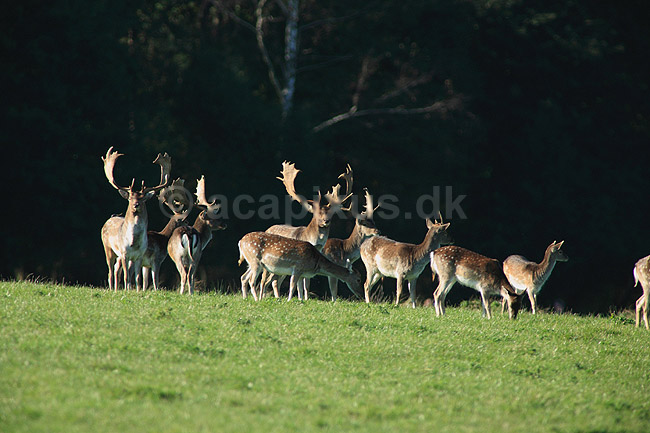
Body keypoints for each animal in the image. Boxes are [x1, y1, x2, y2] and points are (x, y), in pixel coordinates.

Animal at [101, 147, 170, 292]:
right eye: (130, 198)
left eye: (142, 199)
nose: (136, 205)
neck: (134, 242)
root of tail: (108, 220)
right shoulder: (124, 253)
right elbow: (127, 276)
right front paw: (127, 290)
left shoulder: (139, 256)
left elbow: (138, 278)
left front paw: (137, 291)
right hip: (108, 248)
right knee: (110, 272)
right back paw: (112, 289)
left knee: (117, 270)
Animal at [259, 161, 353, 299]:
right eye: (316, 213)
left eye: (330, 213)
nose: (326, 221)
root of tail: (267, 229)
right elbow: (301, 284)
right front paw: (301, 298)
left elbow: (305, 284)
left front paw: (305, 298)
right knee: (270, 280)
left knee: (275, 280)